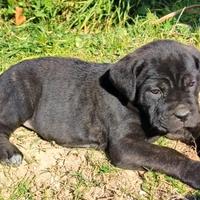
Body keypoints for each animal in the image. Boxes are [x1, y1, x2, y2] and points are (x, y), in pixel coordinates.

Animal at [0, 39, 200, 188]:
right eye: (156, 91)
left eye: (191, 84)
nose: (183, 114)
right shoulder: (125, 145)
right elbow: (167, 154)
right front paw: (195, 170)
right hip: (19, 97)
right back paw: (10, 153)